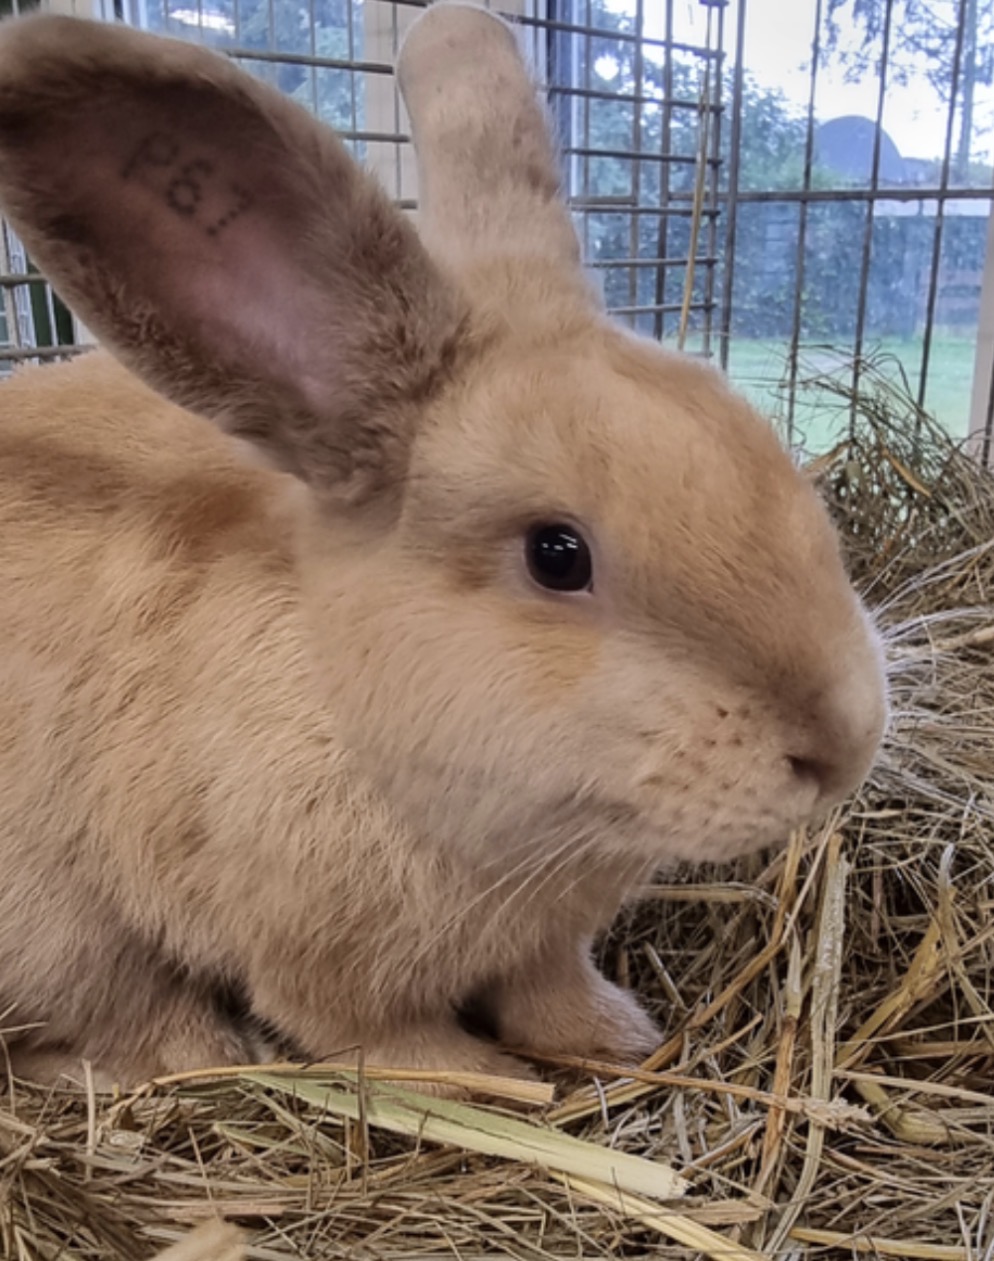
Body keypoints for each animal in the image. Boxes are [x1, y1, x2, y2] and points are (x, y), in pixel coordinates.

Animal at [0, 1, 887, 1090]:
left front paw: (614, 1035)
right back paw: (190, 1051)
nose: (843, 743)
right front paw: (496, 1080)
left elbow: (550, 986)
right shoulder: (318, 964)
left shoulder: (546, 938)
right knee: (116, 1007)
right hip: (53, 922)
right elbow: (378, 1036)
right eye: (557, 555)